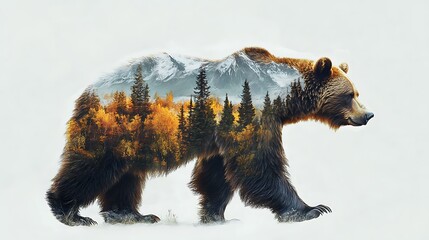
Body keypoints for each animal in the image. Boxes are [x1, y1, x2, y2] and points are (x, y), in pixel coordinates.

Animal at [46, 47, 372, 225]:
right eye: (349, 95)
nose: (368, 115)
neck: (280, 94)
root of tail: (86, 91)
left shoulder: (224, 127)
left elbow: (217, 174)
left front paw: (214, 214)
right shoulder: (251, 113)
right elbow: (258, 166)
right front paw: (311, 208)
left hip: (134, 135)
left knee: (127, 175)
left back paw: (131, 214)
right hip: (112, 126)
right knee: (91, 166)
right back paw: (69, 212)